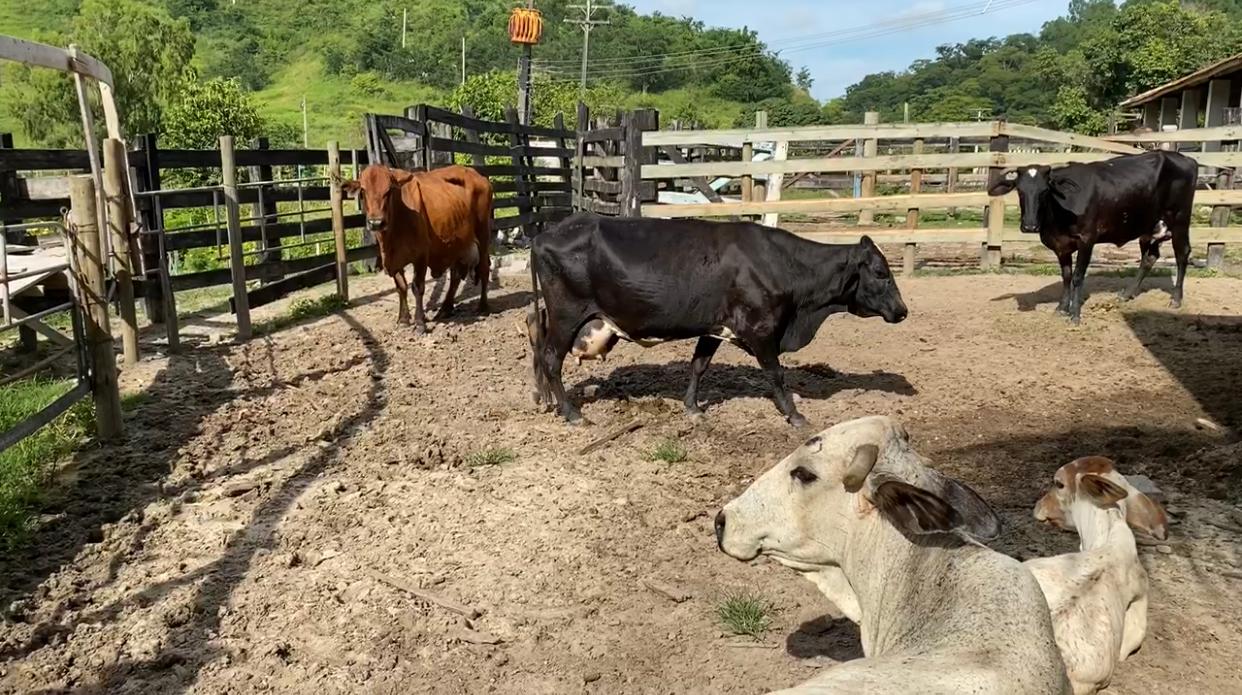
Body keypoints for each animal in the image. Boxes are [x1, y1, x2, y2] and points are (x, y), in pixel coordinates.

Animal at [345, 165, 494, 335]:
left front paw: (420, 323)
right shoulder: (393, 259)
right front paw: (403, 319)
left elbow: (417, 287)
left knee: (484, 268)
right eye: (363, 191)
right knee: (455, 276)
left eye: (389, 190)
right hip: (456, 243)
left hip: (483, 235)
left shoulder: (421, 256)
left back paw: (482, 306)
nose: (376, 222)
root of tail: (479, 176)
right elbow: (401, 286)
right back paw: (445, 309)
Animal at [529, 212, 909, 426]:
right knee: (550, 359)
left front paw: (693, 407)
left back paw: (547, 400)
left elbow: (699, 365)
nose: (902, 311)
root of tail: (546, 234)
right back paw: (572, 413)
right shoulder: (760, 329)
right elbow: (776, 374)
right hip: (567, 314)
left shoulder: (714, 327)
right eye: (880, 272)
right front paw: (794, 414)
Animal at [988, 150, 1192, 322]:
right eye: (1019, 190)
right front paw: (1062, 308)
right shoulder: (1061, 246)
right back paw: (1126, 294)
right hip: (1148, 228)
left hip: (1180, 220)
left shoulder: (1087, 240)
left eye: (1045, 191)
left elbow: (1078, 277)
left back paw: (1176, 299)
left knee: (1182, 254)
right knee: (1149, 257)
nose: (1030, 225)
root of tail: (1183, 158)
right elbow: (1066, 276)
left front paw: (1075, 314)